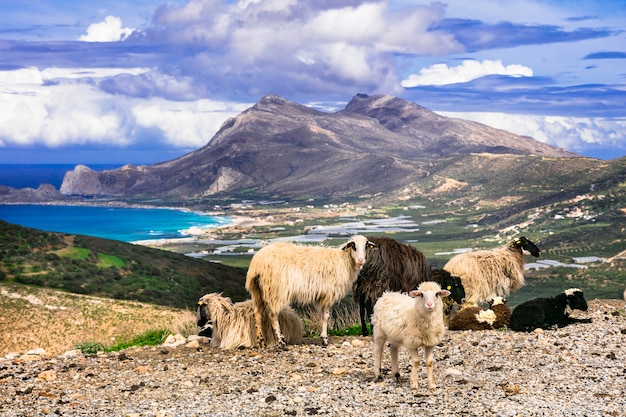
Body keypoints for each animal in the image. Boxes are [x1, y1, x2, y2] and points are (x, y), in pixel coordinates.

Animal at [244, 232, 372, 346]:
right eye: (353, 246)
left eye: (366, 246)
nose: (361, 260)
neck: (344, 261)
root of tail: (258, 263)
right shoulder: (328, 294)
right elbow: (326, 317)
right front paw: (324, 339)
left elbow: (323, 316)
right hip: (276, 290)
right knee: (272, 315)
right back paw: (281, 341)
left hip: (257, 290)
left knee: (258, 313)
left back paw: (261, 341)